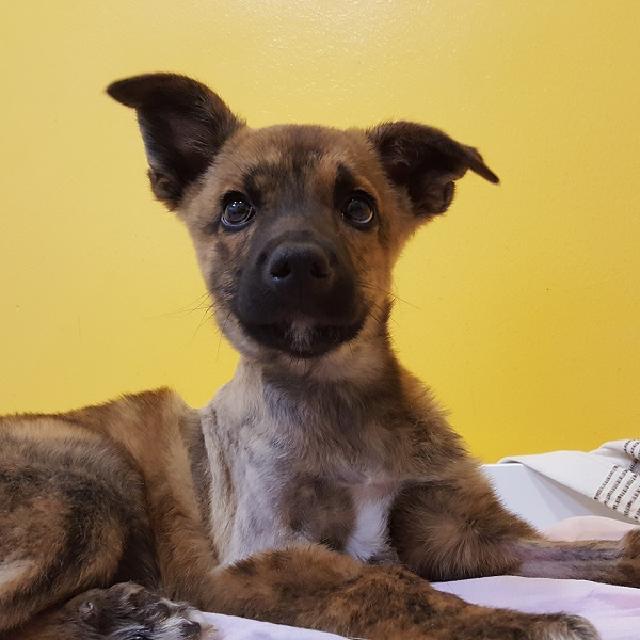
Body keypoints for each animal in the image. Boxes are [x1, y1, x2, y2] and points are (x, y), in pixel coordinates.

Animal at [1, 75, 636, 640]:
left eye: (359, 208)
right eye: (236, 209)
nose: (300, 264)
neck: (335, 396)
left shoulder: (461, 532)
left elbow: (589, 549)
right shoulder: (261, 553)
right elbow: (387, 587)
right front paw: (518, 624)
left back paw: (121, 612)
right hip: (89, 482)